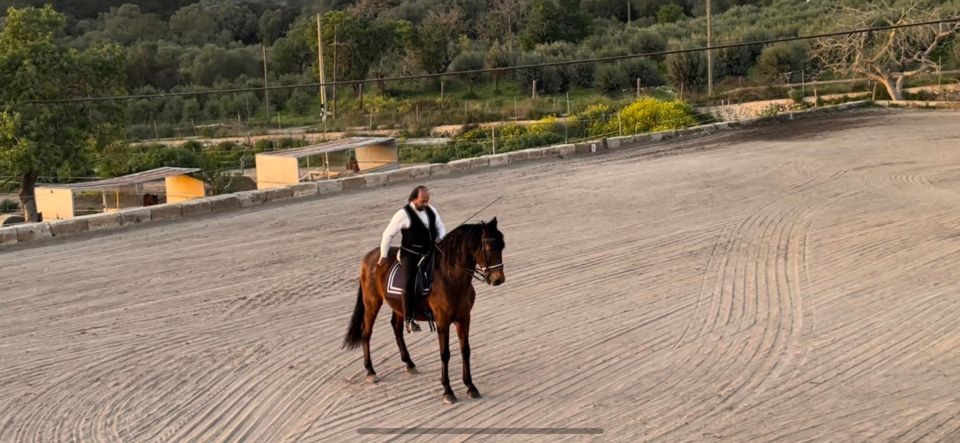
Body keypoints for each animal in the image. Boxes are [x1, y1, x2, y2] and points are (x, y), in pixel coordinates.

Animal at [344, 217, 510, 404]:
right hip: (372, 302)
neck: (450, 278)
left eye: (502, 246)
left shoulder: (464, 318)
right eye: (489, 248)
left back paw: (409, 363)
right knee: (366, 331)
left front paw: (471, 387)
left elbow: (465, 350)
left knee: (396, 328)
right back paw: (371, 371)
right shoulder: (443, 322)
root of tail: (371, 256)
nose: (498, 279)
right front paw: (448, 391)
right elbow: (445, 353)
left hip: (399, 306)